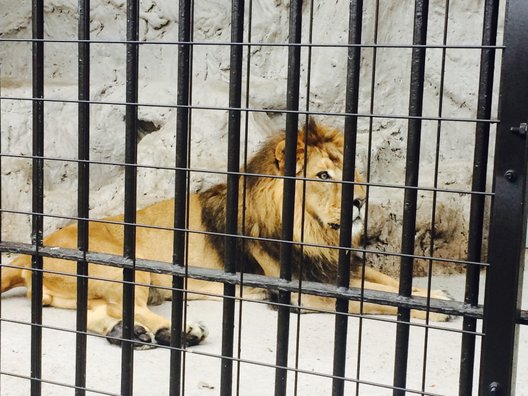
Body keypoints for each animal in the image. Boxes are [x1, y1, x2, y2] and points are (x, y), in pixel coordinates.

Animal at [0, 118, 450, 350]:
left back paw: (134, 334)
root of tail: (25, 255)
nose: (359, 200)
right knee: (124, 307)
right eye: (324, 176)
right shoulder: (306, 292)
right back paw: (179, 331)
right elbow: (377, 300)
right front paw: (437, 312)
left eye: (351, 173)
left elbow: (385, 282)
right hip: (126, 270)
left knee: (96, 316)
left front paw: (437, 296)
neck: (314, 231)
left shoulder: (334, 267)